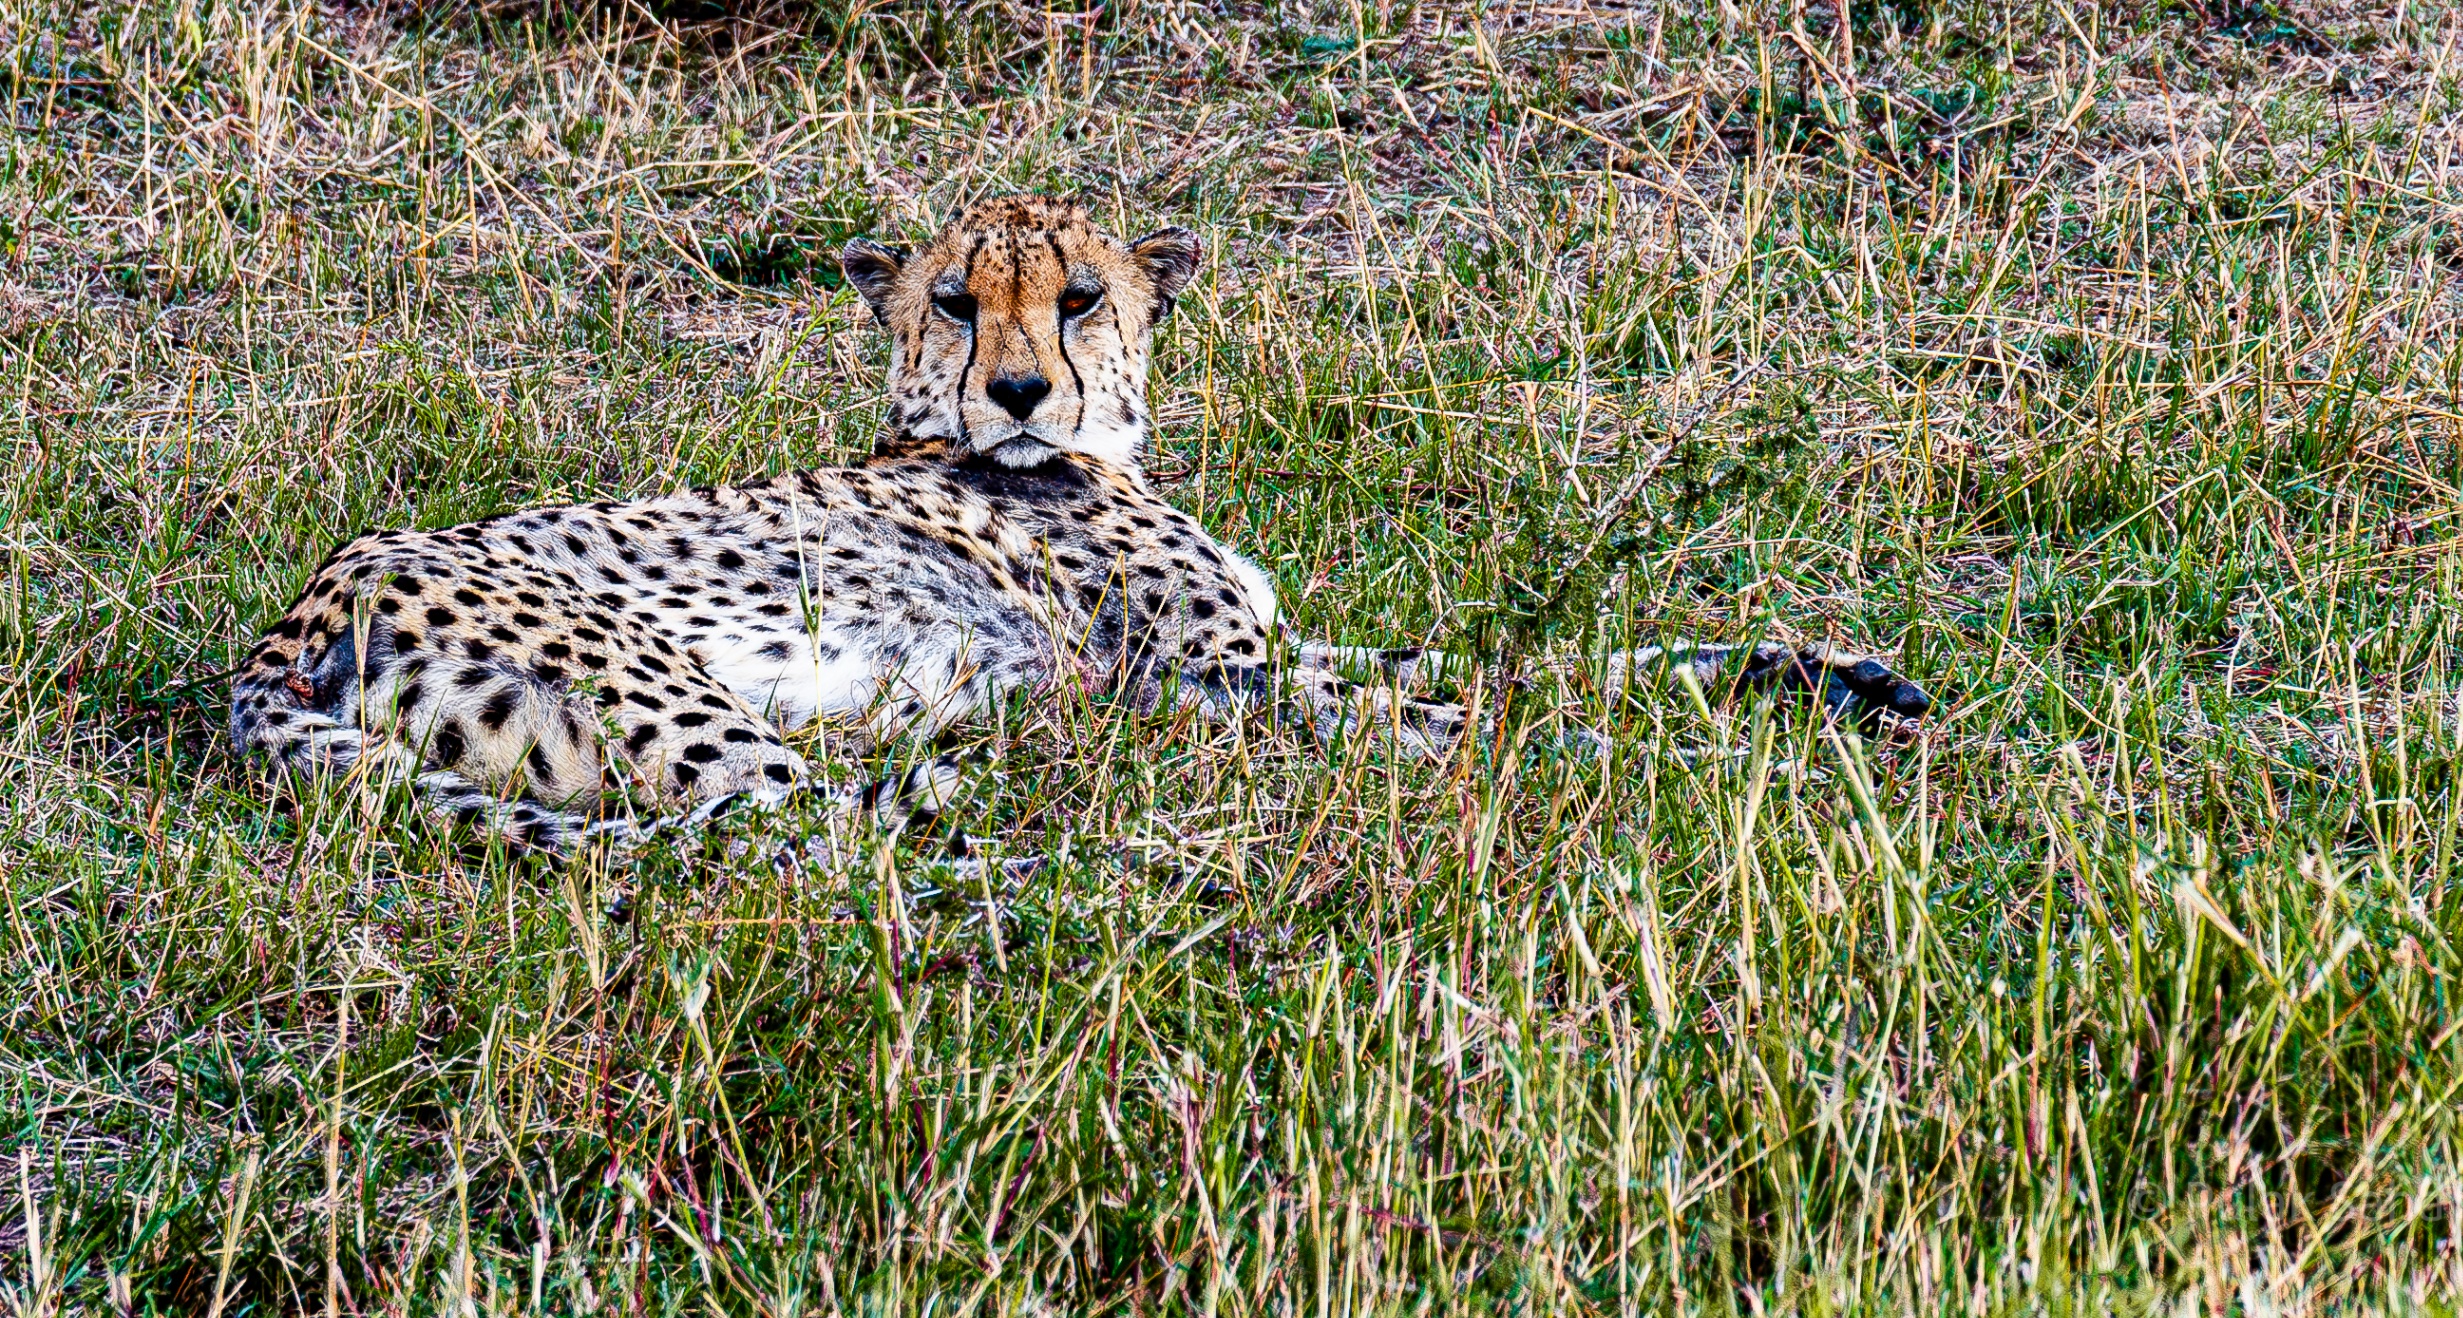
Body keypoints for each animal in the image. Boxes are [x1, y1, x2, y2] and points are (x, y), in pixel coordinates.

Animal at [227, 196, 1932, 857]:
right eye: (955, 301)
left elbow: (1554, 657)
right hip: (664, 690)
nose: (1019, 392)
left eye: (1082, 296)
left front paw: (1824, 678)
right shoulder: (1213, 675)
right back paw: (1087, 858)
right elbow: (1482, 705)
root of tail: (298, 606)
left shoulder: (1267, 652)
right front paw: (1674, 764)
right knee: (791, 845)